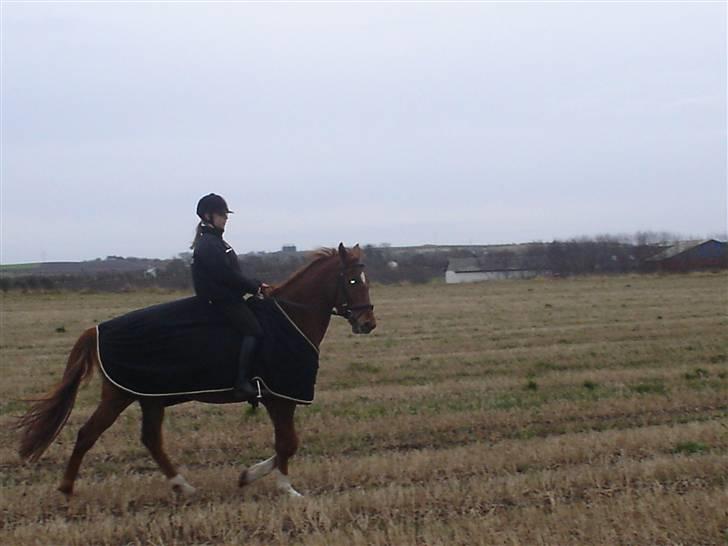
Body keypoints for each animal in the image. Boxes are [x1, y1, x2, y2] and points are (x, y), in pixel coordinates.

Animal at [15, 240, 376, 496]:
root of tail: (97, 329)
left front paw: (253, 477)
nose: (368, 323)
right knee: (89, 433)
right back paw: (67, 488)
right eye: (352, 280)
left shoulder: (280, 399)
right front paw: (280, 487)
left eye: (365, 279)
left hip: (149, 398)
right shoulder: (280, 397)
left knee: (150, 440)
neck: (290, 317)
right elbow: (288, 443)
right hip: (119, 395)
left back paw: (181, 485)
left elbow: (286, 444)